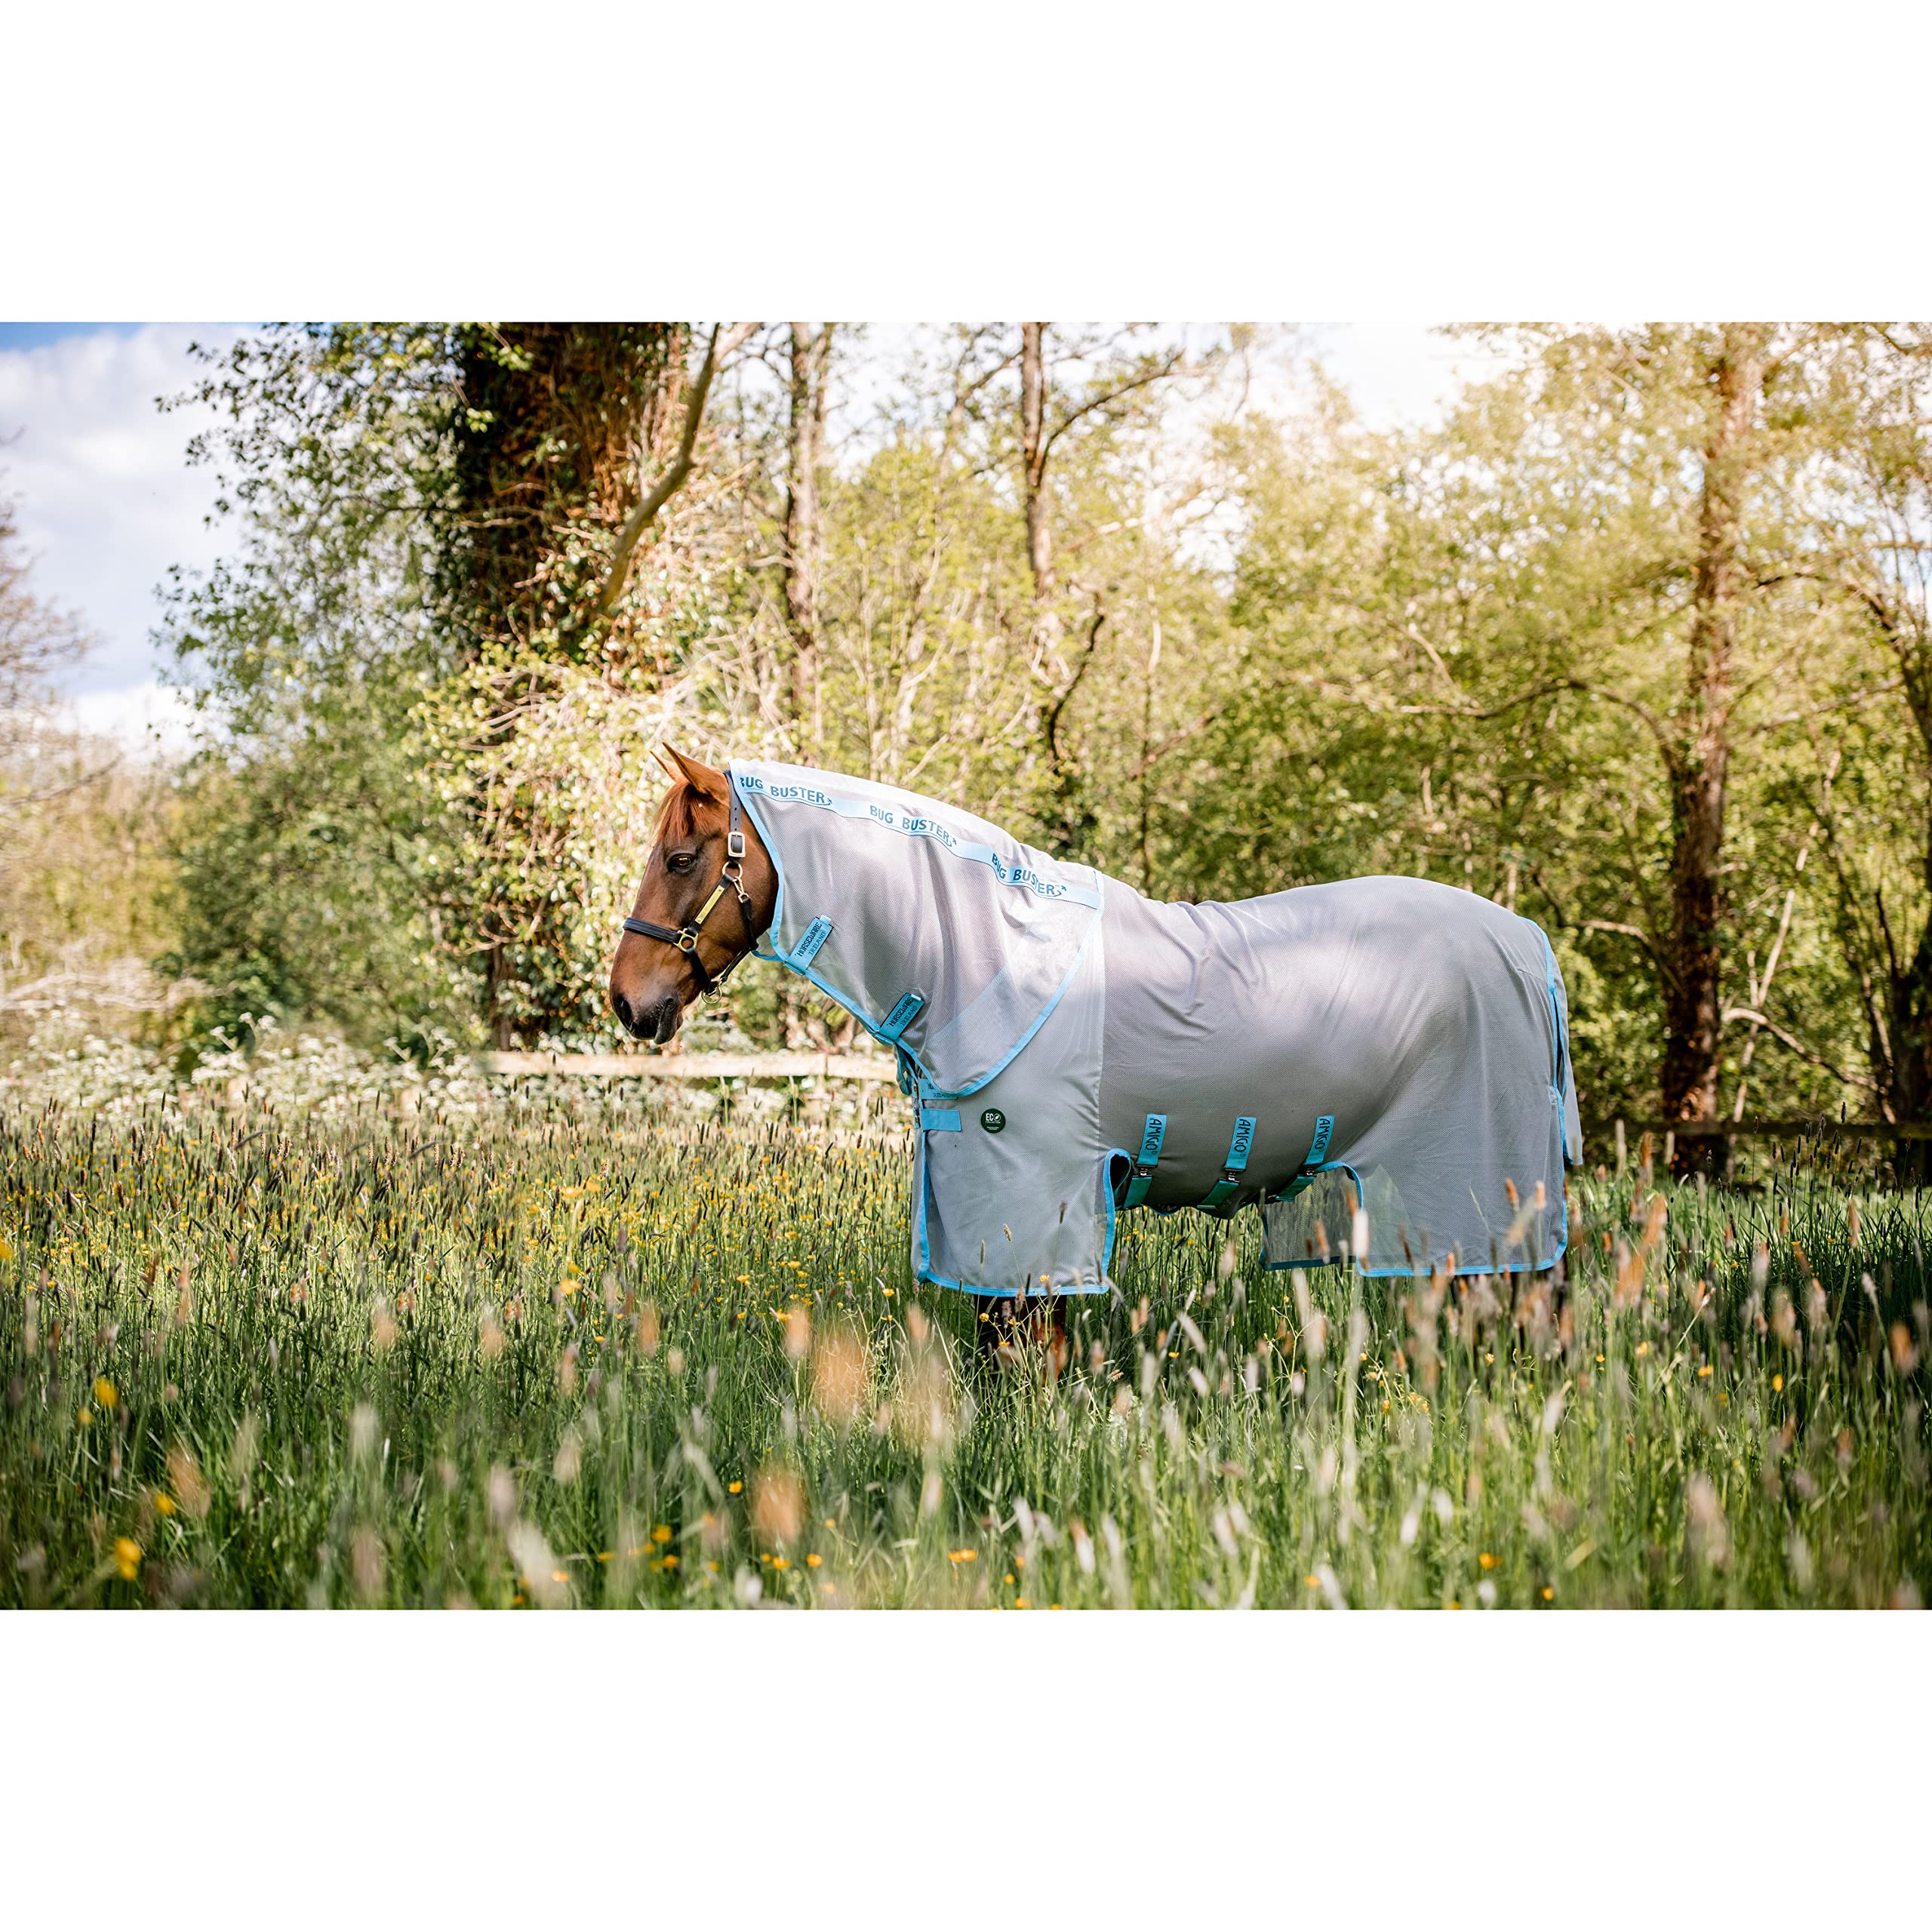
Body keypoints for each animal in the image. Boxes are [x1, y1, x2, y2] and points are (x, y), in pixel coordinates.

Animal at [610, 748, 1581, 1361]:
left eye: (683, 857)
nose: (628, 1000)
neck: (991, 955)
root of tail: (1527, 942)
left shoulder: (1034, 1207)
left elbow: (1021, 1353)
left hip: (1474, 1192)